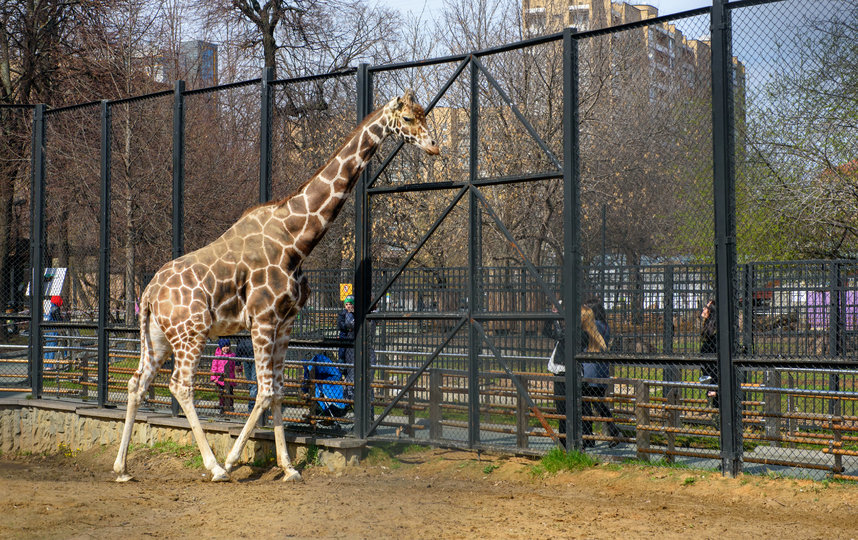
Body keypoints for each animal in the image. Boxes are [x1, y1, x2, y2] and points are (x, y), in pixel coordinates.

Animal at [112, 89, 442, 486]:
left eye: (425, 115)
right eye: (407, 119)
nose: (434, 147)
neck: (295, 241)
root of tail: (147, 293)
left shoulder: (285, 323)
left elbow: (280, 391)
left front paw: (289, 467)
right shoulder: (263, 320)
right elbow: (265, 391)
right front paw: (235, 460)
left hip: (159, 337)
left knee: (137, 382)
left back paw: (122, 468)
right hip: (191, 332)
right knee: (180, 385)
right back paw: (215, 467)